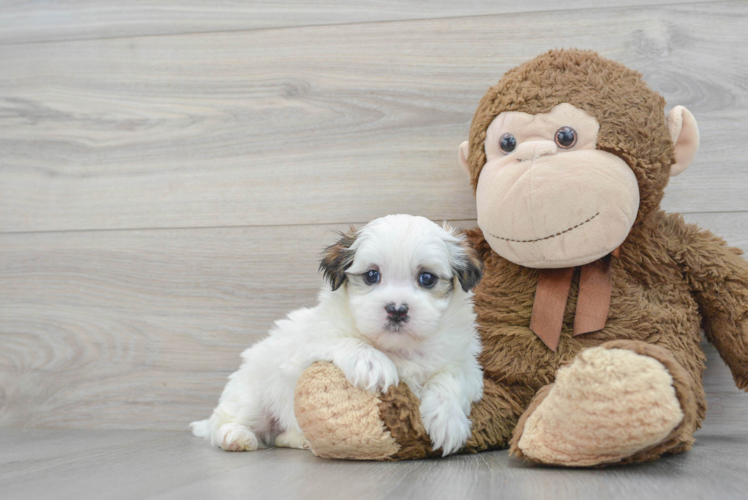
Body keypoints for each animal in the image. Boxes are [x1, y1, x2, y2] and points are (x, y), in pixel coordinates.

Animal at [191, 213, 486, 456]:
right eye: (371, 275)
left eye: (427, 278)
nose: (397, 309)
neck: (399, 347)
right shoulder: (305, 347)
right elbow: (341, 339)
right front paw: (371, 362)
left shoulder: (467, 366)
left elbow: (451, 377)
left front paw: (446, 420)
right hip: (253, 394)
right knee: (227, 421)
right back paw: (235, 436)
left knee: (278, 436)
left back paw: (300, 439)